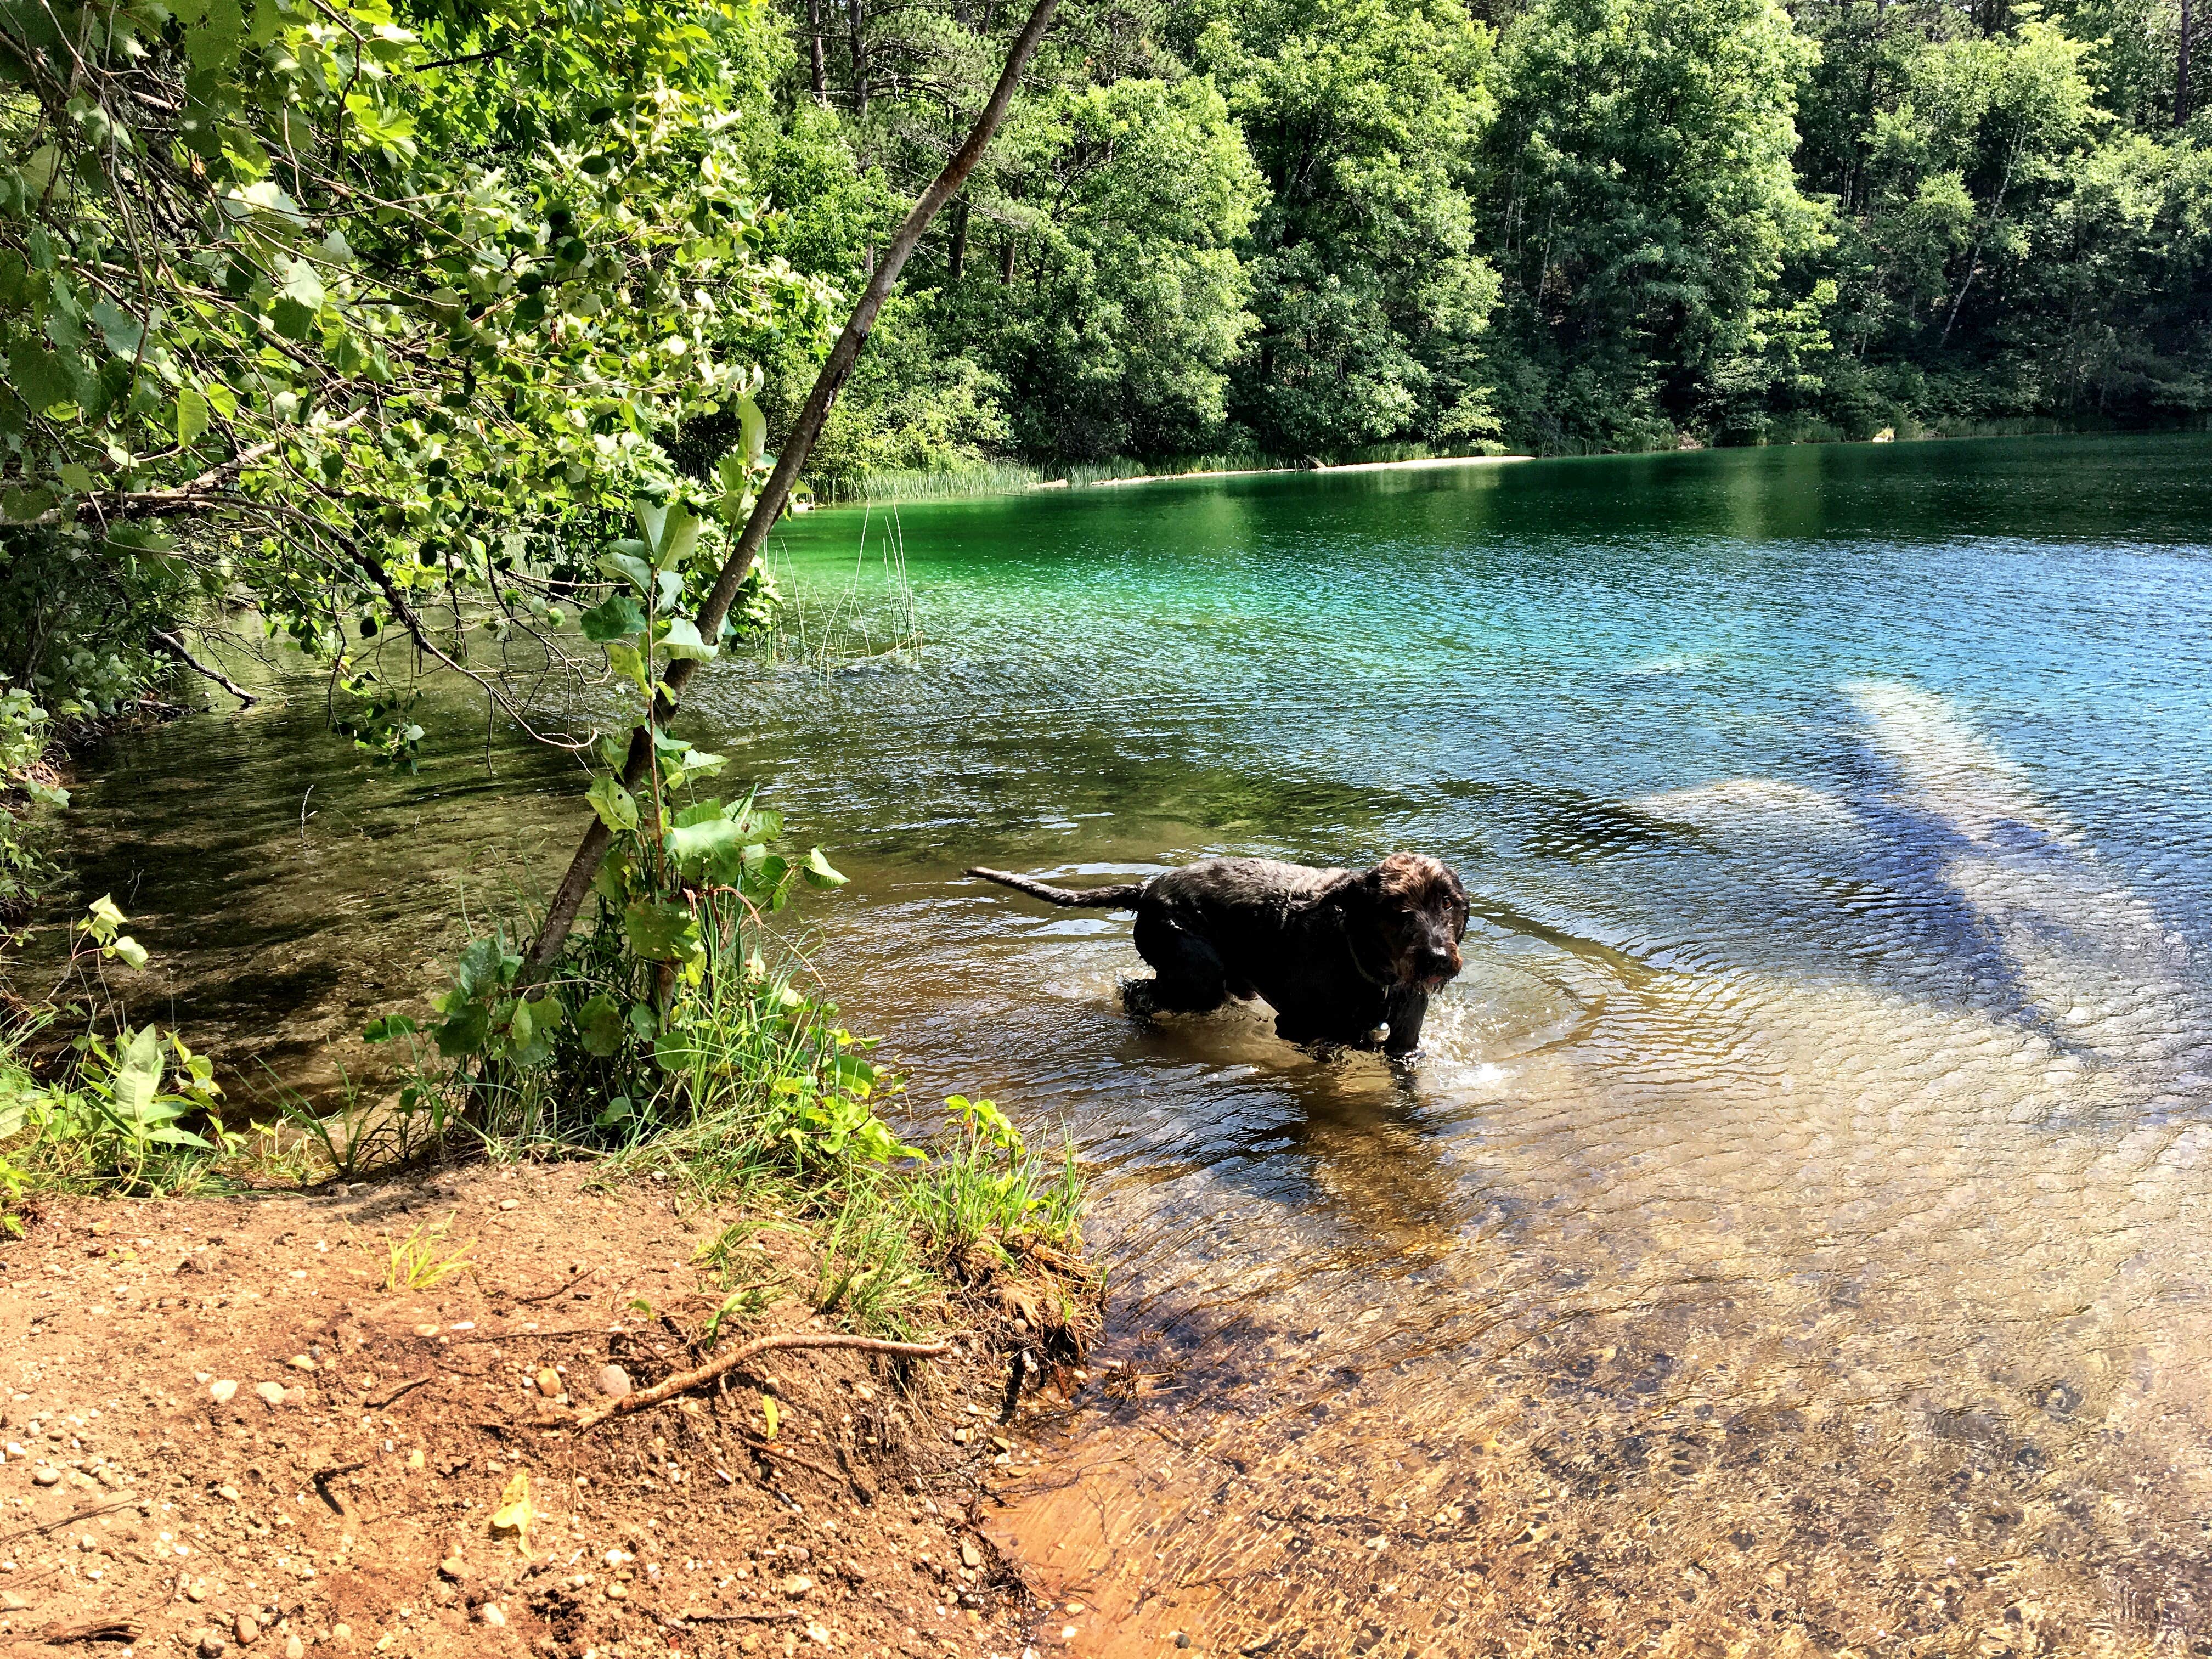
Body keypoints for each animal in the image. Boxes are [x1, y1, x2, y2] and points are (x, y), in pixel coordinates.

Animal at [969, 858, 1469, 1053]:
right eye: (1397, 910)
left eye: (1448, 903)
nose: (1438, 958)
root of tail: (1146, 890)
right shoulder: (1299, 1026)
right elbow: (1342, 1039)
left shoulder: (1405, 1042)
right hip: (1197, 979)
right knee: (1137, 994)